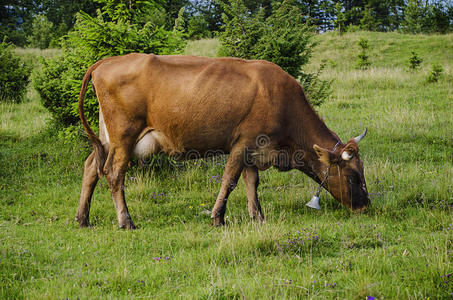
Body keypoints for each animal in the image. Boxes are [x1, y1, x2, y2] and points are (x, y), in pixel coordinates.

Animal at [76, 54, 370, 229]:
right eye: (353, 177)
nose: (365, 206)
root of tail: (106, 62)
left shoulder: (254, 149)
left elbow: (252, 182)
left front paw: (258, 216)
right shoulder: (243, 143)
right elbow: (230, 180)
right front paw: (218, 217)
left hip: (107, 138)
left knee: (91, 167)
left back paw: (82, 218)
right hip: (124, 136)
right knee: (113, 173)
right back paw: (126, 221)